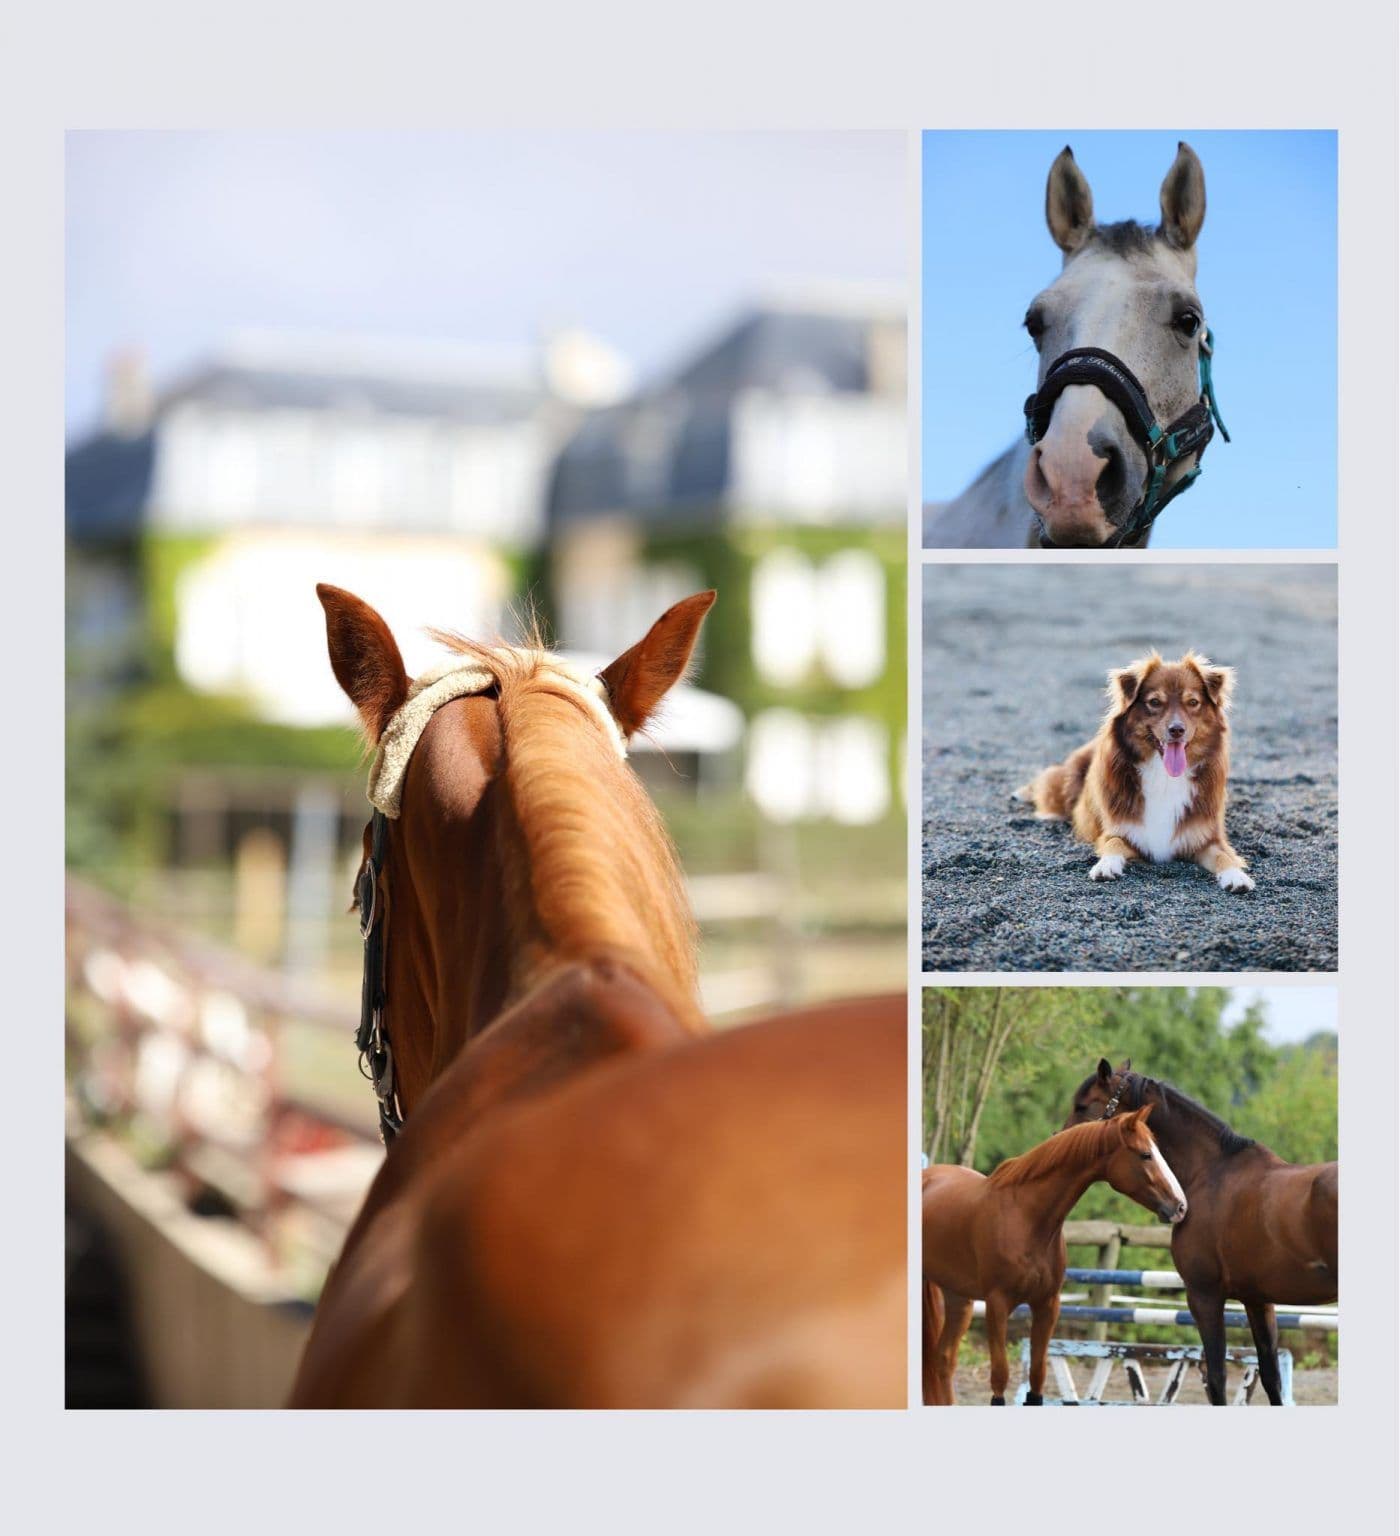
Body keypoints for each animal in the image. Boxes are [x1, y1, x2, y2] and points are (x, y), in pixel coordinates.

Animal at [921, 1108, 1186, 1406]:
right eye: (1145, 1154)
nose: (1180, 1207)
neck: (1026, 1217)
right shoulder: (997, 1305)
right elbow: (1000, 1377)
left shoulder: (1047, 1305)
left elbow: (1037, 1377)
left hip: (959, 1298)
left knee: (943, 1360)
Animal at [1064, 1059, 1339, 1406]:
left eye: (1083, 1105)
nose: (1058, 1141)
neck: (1210, 1172)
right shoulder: (1257, 1301)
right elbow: (1271, 1377)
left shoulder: (1204, 1296)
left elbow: (1217, 1378)